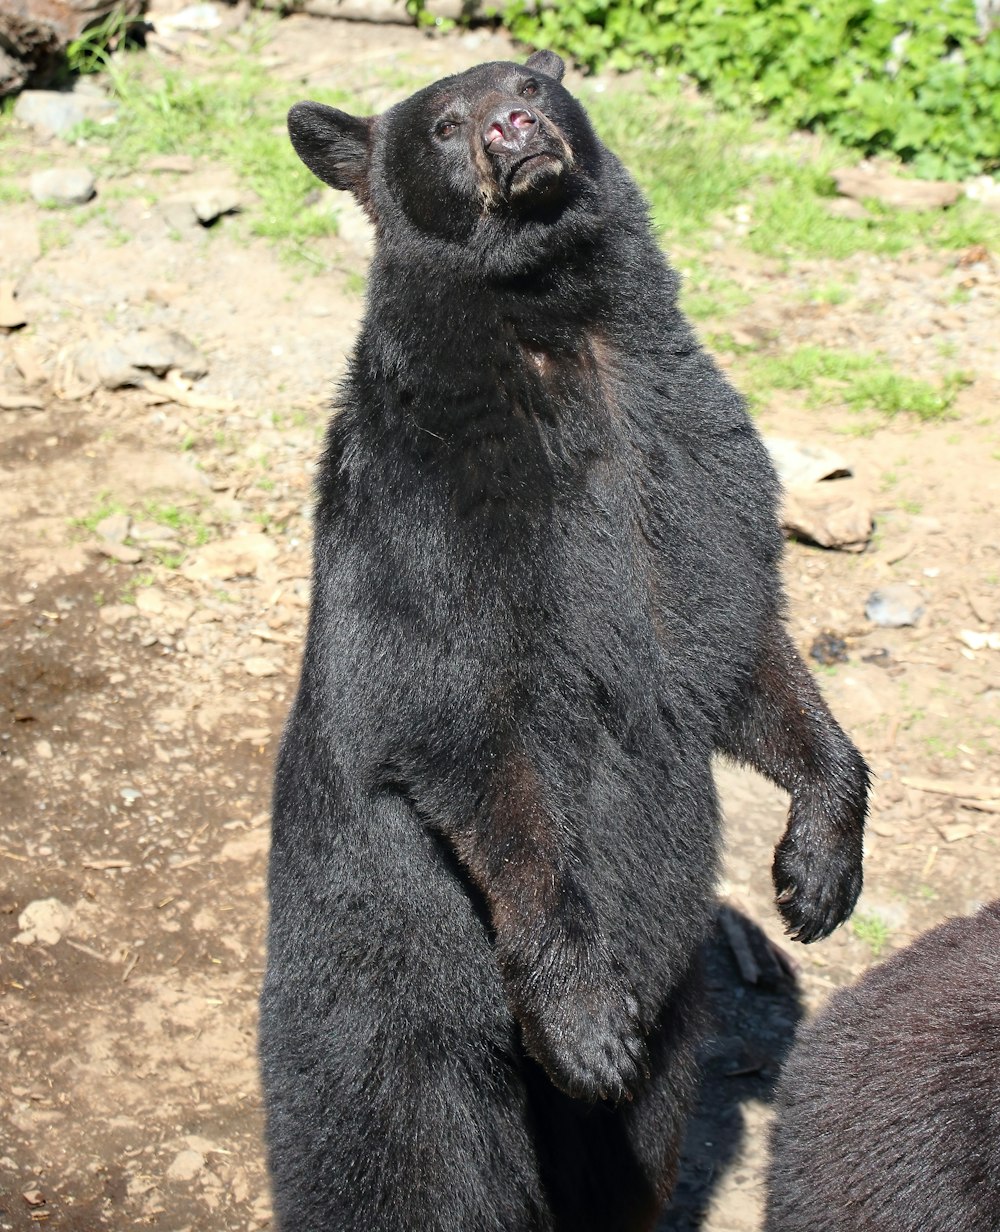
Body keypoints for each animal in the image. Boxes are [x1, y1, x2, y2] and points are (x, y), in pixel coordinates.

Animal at [262, 50, 871, 1232]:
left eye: (531, 86)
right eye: (442, 124)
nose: (511, 127)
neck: (562, 344)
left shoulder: (689, 460)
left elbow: (737, 642)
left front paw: (817, 870)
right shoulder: (434, 515)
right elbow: (468, 725)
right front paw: (583, 1017)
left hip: (671, 1030)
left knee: (630, 1153)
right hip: (391, 999)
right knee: (404, 1159)